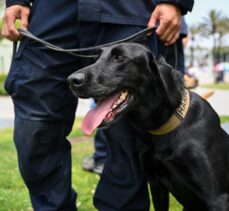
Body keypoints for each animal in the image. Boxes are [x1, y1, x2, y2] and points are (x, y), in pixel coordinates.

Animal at [67, 42, 229, 211]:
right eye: (96, 59)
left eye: (119, 57)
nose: (71, 80)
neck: (162, 128)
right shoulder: (156, 184)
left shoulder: (216, 197)